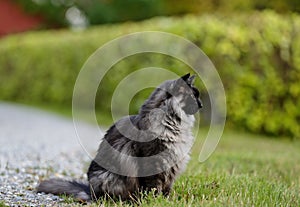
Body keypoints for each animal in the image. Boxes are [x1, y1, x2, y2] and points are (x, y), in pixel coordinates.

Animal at [36, 72, 203, 201]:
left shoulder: (171, 166)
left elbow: (166, 188)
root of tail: (89, 191)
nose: (201, 105)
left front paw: (166, 200)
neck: (172, 123)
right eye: (193, 96)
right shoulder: (153, 162)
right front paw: (153, 201)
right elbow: (152, 187)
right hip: (107, 178)